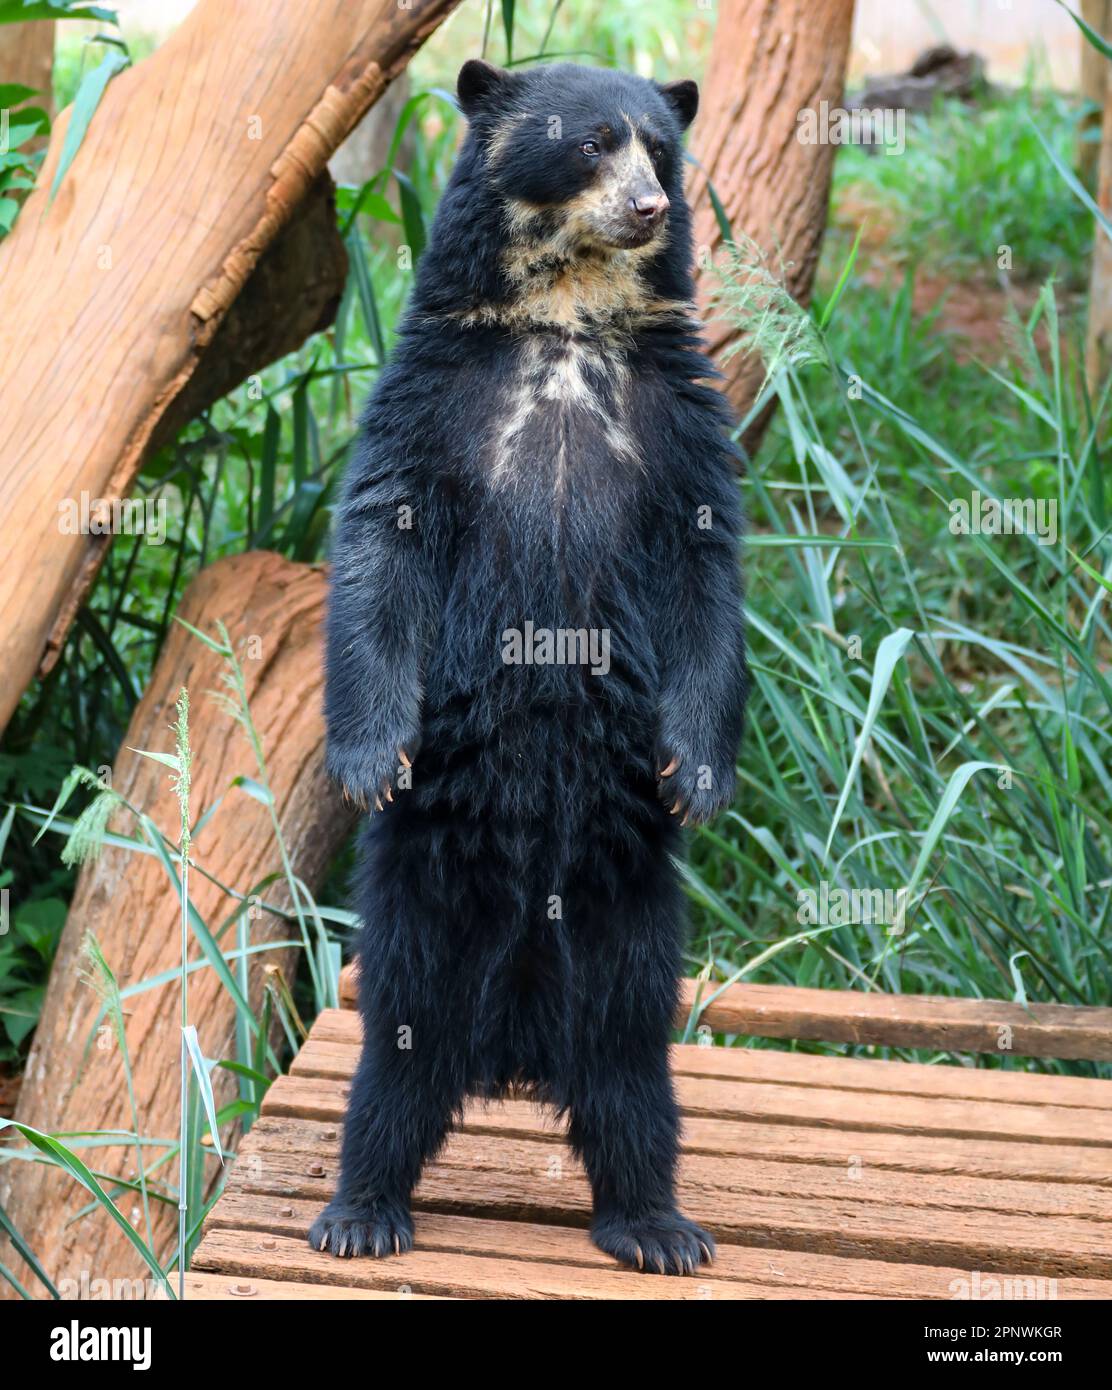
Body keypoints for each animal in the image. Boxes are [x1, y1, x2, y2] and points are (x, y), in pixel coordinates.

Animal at [309, 58, 747, 1276]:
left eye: (660, 151)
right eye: (592, 142)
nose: (645, 209)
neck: (564, 316)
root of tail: (512, 1045)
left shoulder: (677, 415)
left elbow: (707, 572)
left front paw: (697, 776)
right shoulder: (429, 394)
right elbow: (381, 542)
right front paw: (367, 761)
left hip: (632, 913)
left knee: (631, 1067)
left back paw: (656, 1225)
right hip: (418, 897)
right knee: (396, 1053)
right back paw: (361, 1209)